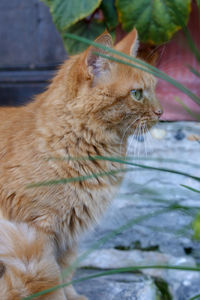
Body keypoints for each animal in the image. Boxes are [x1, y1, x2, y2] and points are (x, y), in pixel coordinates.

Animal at [0, 28, 162, 300]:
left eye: (154, 89)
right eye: (137, 93)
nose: (161, 112)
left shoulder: (68, 234)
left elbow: (65, 271)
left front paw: (72, 296)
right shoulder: (37, 231)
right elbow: (49, 280)